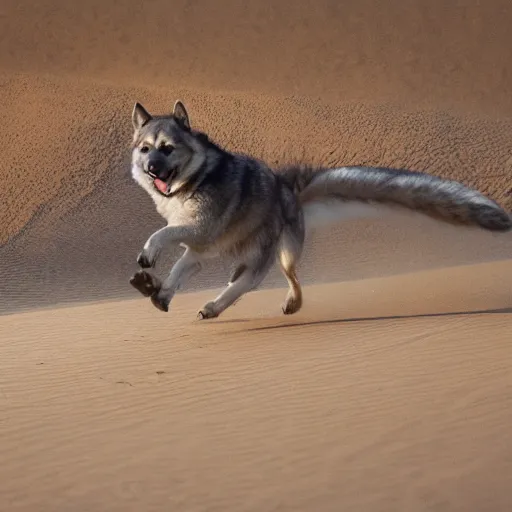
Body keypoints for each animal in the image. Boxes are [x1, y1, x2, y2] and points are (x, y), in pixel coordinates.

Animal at [129, 100, 512, 320]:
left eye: (167, 148)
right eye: (145, 149)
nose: (151, 168)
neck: (191, 183)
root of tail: (288, 188)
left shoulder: (200, 229)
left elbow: (161, 233)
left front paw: (148, 254)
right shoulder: (198, 245)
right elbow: (173, 255)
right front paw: (155, 281)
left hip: (278, 253)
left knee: (268, 282)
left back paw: (270, 305)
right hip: (234, 253)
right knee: (207, 277)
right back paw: (159, 294)